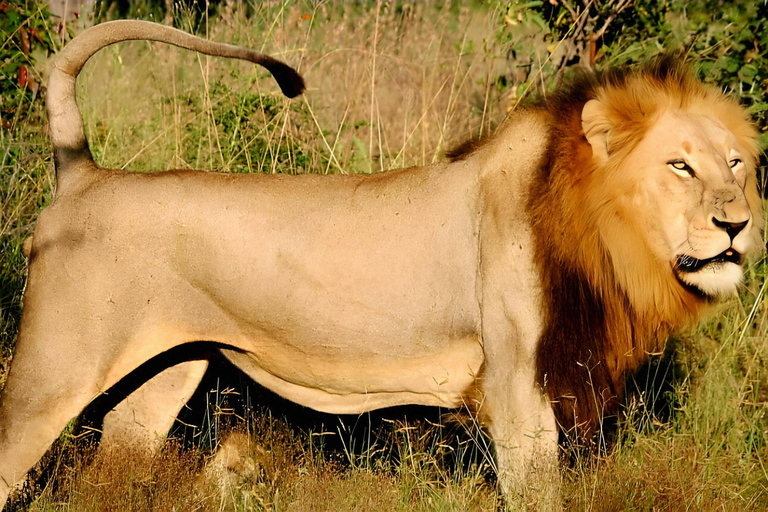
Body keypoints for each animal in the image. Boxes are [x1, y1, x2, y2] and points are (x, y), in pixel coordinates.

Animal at [0, 18, 760, 506]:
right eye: (680, 167)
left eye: (736, 164)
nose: (737, 224)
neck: (599, 240)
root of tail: (81, 173)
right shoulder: (517, 386)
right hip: (54, 367)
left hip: (167, 371)